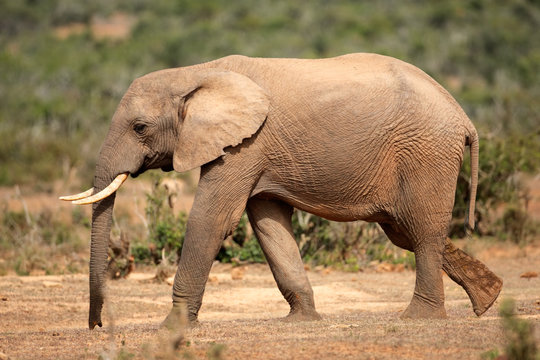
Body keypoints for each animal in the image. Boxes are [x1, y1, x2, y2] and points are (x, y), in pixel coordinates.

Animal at [62, 53, 502, 330]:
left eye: (139, 128)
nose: (97, 325)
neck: (197, 73)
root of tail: (463, 116)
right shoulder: (257, 153)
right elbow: (268, 224)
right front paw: (302, 321)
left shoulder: (245, 146)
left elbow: (212, 219)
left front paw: (171, 326)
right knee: (407, 232)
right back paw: (489, 300)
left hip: (426, 153)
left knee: (422, 232)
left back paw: (418, 318)